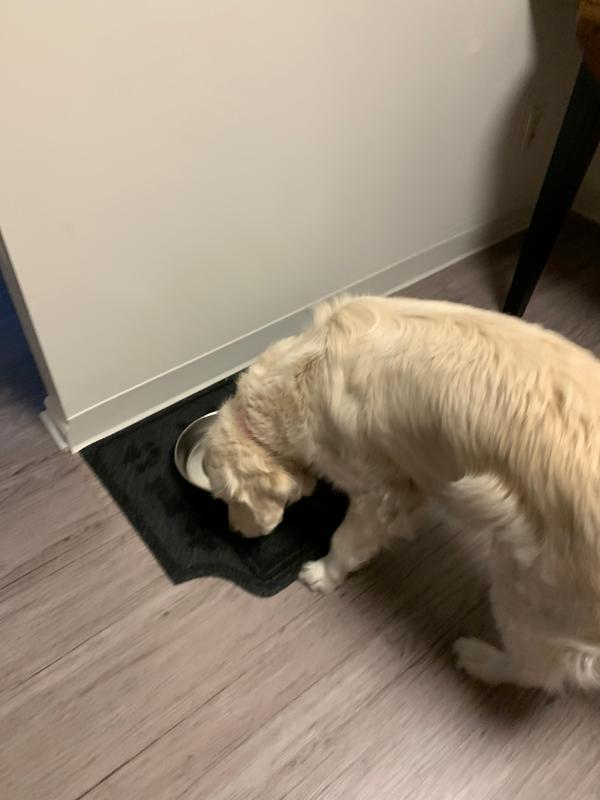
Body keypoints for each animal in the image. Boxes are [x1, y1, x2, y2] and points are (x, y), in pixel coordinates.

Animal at [202, 295, 600, 692]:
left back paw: (478, 658)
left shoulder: (375, 488)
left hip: (524, 585)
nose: (235, 531)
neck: (307, 367)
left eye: (226, 499)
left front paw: (323, 575)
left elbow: (345, 539)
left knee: (539, 671)